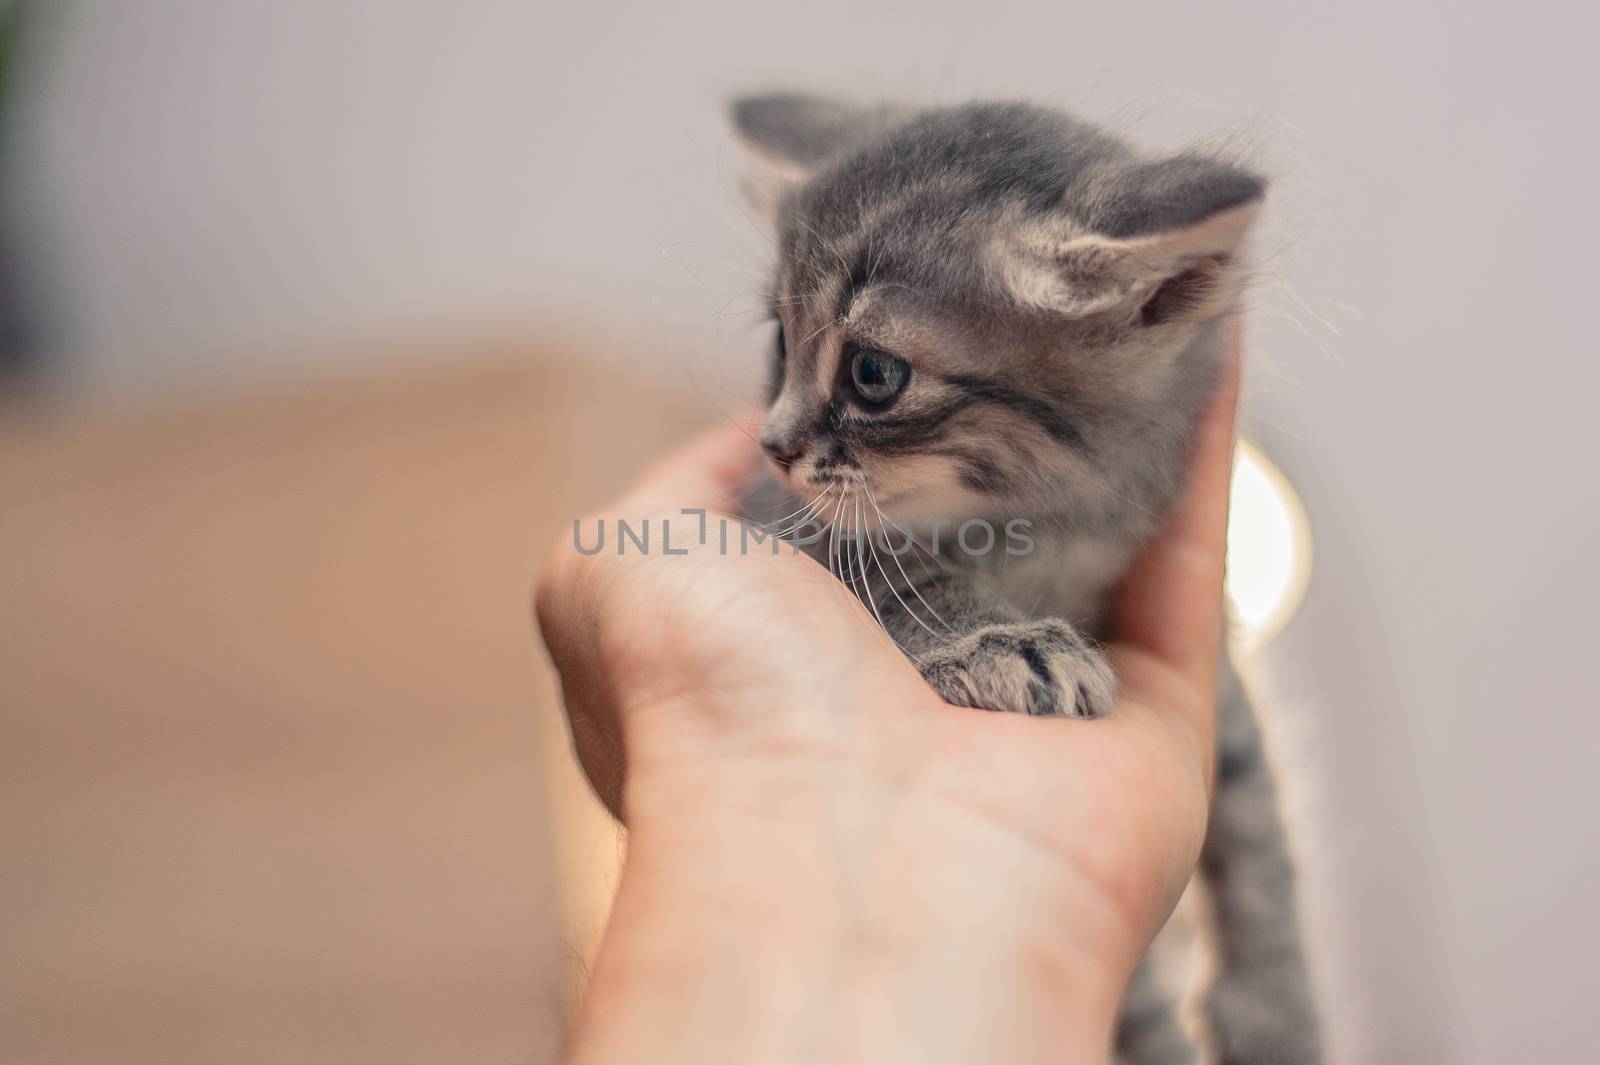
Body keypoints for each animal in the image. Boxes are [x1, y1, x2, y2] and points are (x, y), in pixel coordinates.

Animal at [732, 93, 1318, 1061]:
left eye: (873, 373)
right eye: (781, 342)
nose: (773, 444)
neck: (1043, 532)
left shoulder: (1222, 676)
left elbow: (1258, 820)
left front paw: (1279, 1006)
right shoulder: (783, 518)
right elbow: (903, 572)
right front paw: (1000, 642)